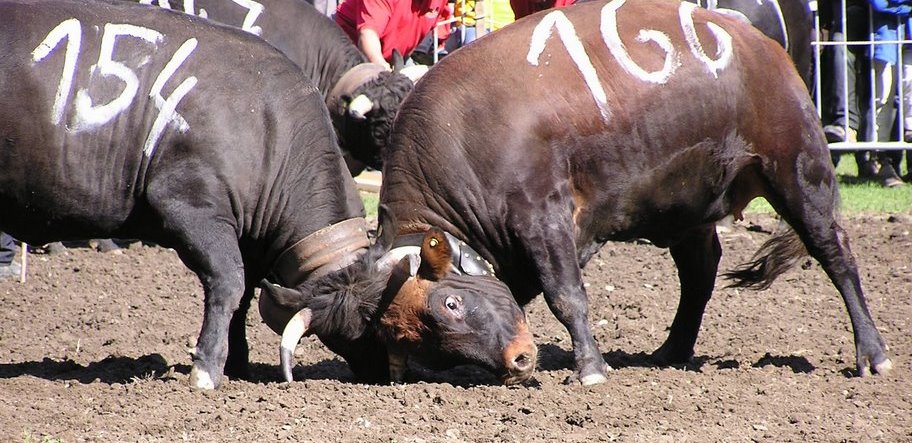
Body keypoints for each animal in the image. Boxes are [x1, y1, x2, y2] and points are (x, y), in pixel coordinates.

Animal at [370, 0, 892, 386]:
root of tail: (760, 44)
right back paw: (672, 350)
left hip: (796, 170)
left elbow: (566, 296)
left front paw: (591, 369)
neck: (465, 136)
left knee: (834, 252)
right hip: (689, 206)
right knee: (699, 275)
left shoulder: (542, 217)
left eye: (450, 304)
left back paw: (872, 354)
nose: (516, 363)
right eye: (417, 341)